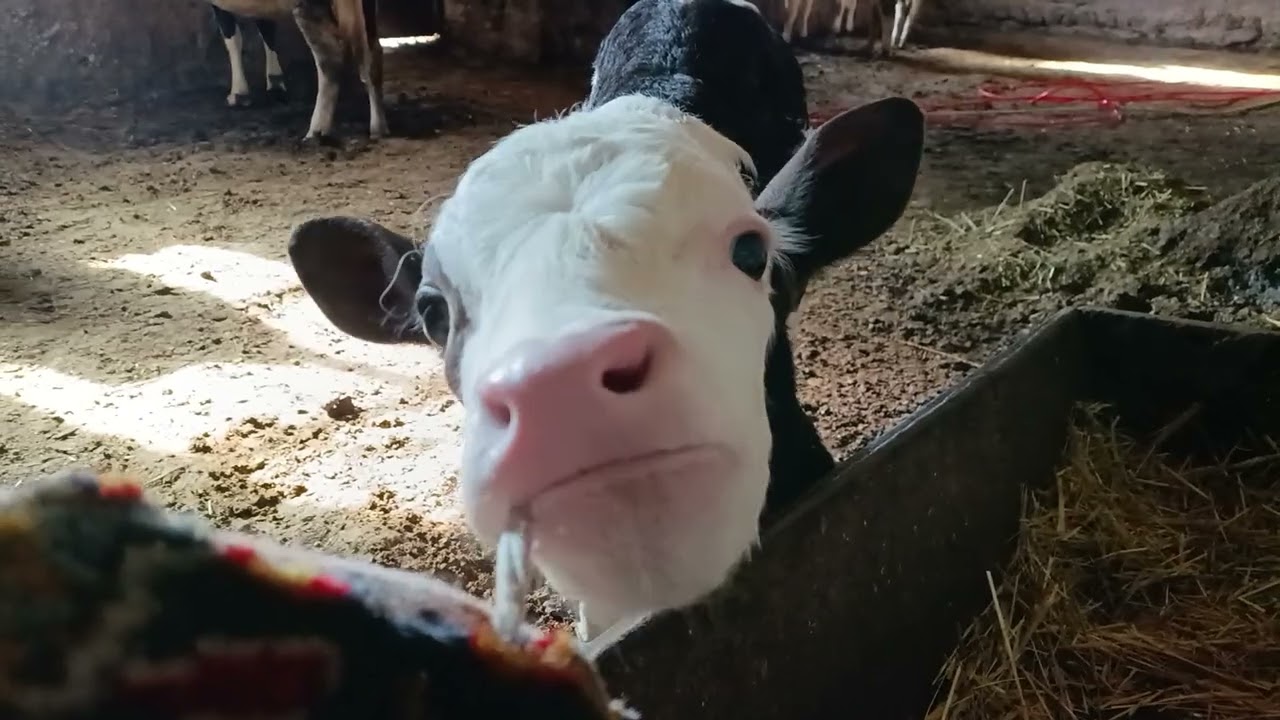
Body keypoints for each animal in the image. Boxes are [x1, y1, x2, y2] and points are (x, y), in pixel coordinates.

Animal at [207, 0, 388, 141]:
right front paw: (275, 81)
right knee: (372, 52)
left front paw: (239, 93)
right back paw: (378, 128)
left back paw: (316, 130)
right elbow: (266, 27)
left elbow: (231, 34)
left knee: (331, 55)